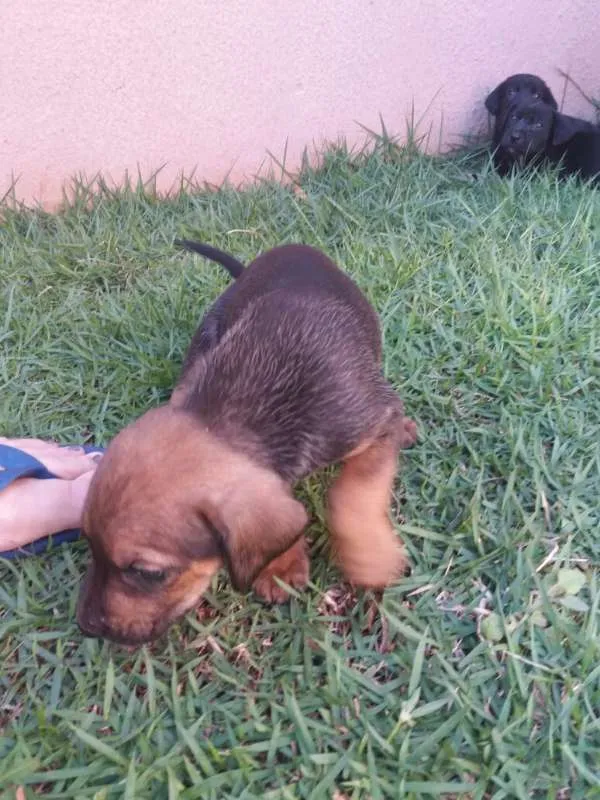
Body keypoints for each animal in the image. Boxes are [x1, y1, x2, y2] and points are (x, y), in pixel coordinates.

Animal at [77, 242, 418, 644]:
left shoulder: (375, 421)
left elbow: (354, 493)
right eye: (87, 541)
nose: (84, 626)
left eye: (148, 573)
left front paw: (370, 556)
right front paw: (281, 567)